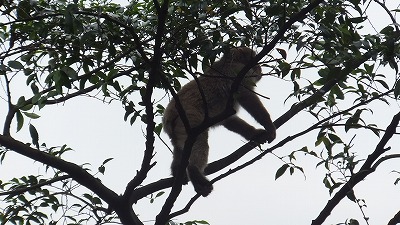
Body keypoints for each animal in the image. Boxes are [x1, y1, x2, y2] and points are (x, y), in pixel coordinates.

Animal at [162, 46, 276, 196]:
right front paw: (269, 125)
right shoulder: (238, 74)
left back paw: (178, 173)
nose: (260, 68)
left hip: (177, 130)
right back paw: (194, 171)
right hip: (190, 120)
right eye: (254, 61)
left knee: (179, 149)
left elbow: (229, 120)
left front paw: (255, 134)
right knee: (200, 142)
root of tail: (169, 115)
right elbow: (247, 96)